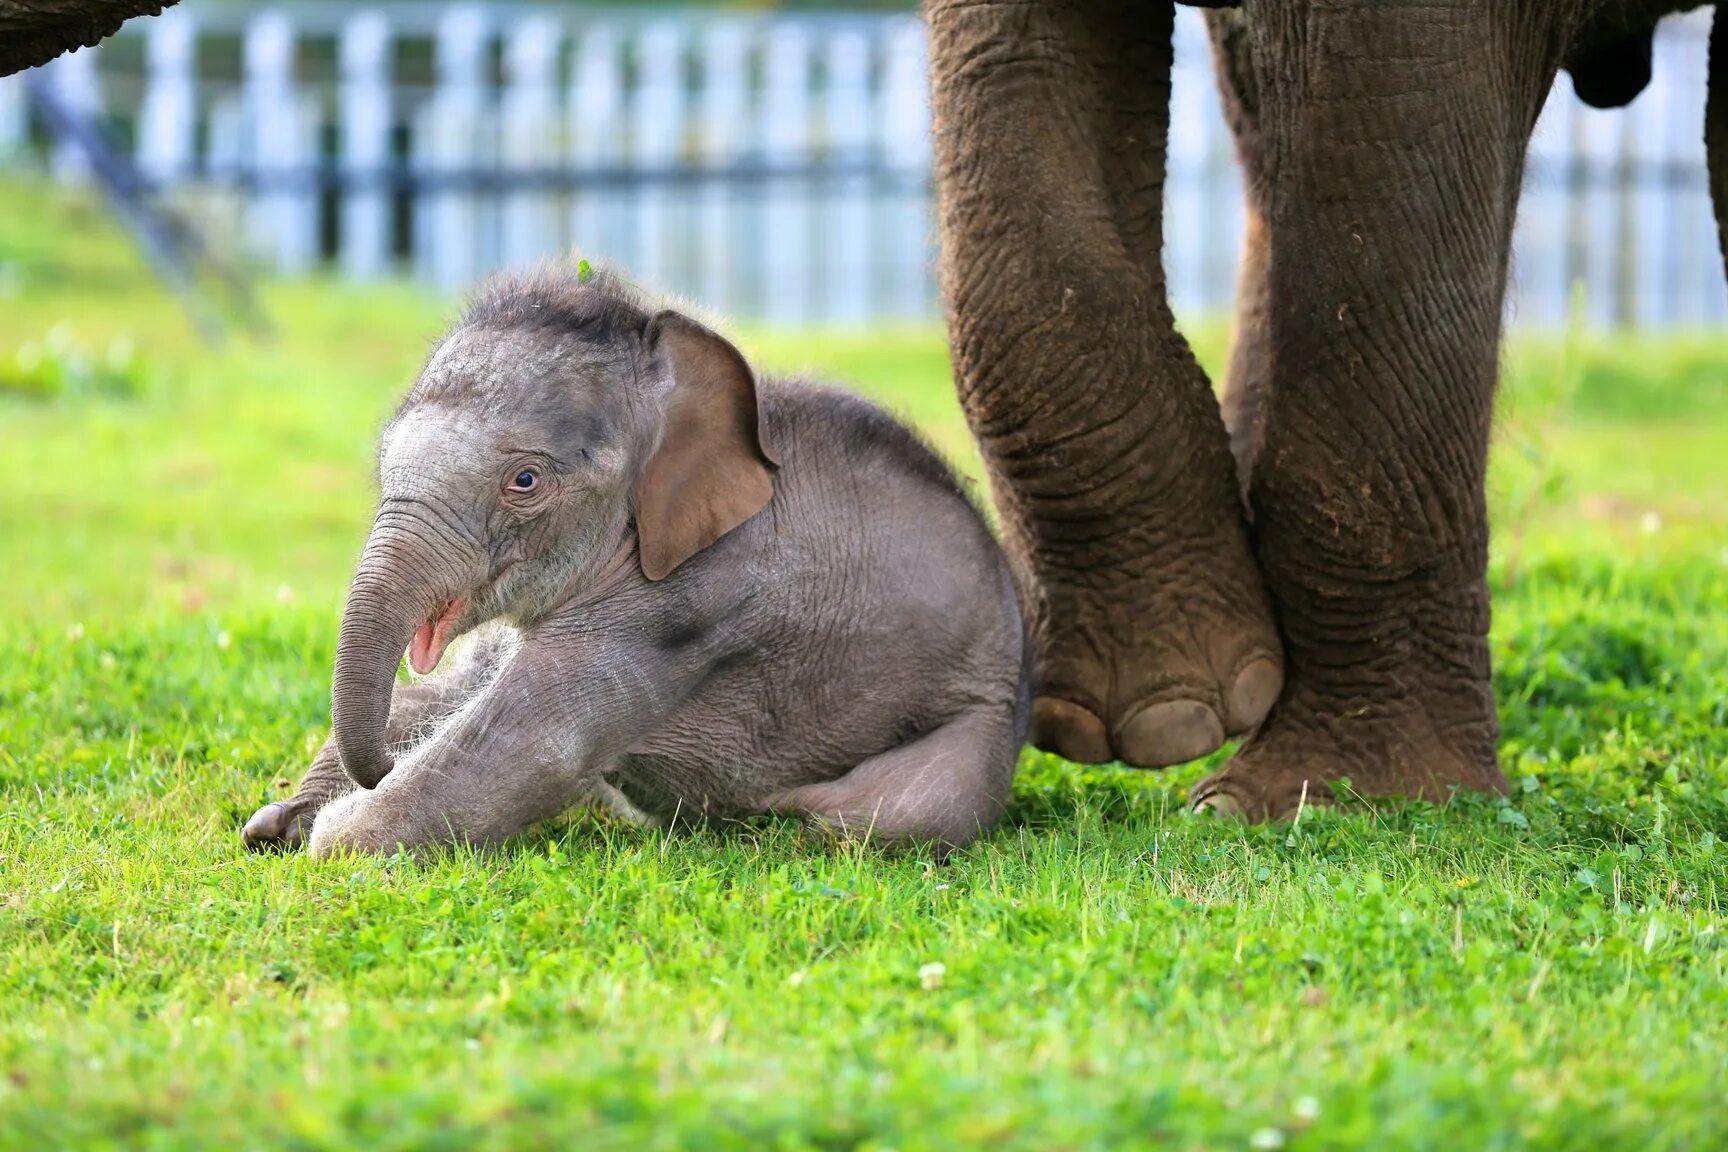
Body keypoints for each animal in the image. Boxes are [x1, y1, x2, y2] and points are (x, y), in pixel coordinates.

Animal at [243, 267, 1022, 856]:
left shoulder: (684, 607)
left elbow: (519, 750)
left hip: (979, 718)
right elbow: (449, 698)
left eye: (525, 481)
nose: (374, 768)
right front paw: (277, 823)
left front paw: (329, 835)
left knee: (886, 815)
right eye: (383, 459)